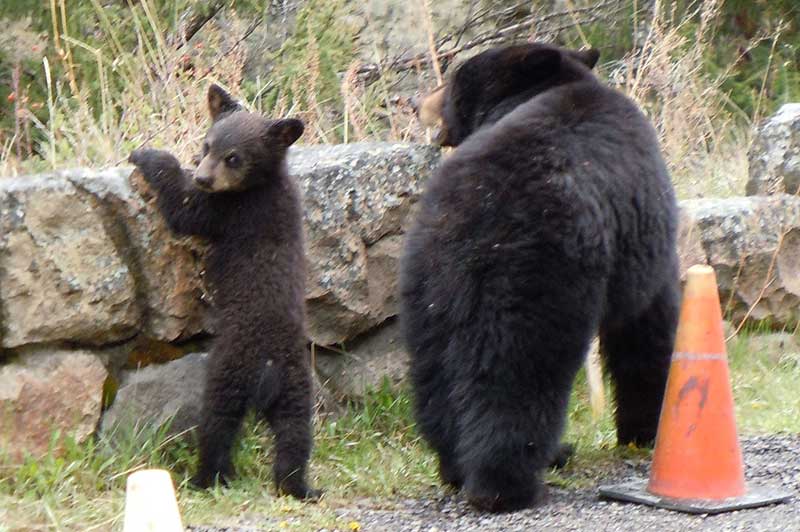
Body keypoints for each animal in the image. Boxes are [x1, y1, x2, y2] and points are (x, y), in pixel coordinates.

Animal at [130, 85, 320, 500]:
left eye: (233, 157)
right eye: (207, 144)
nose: (203, 177)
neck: (260, 185)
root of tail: (267, 370)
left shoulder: (230, 211)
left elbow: (185, 210)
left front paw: (149, 156)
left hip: (228, 372)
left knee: (217, 424)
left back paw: (205, 477)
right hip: (297, 386)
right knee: (295, 433)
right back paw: (298, 486)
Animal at [404, 44, 680, 512]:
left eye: (453, 80)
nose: (416, 102)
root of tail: (471, 214)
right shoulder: (643, 235)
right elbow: (646, 326)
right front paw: (645, 429)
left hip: (427, 286)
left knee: (435, 374)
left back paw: (455, 468)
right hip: (537, 278)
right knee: (519, 373)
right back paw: (507, 484)